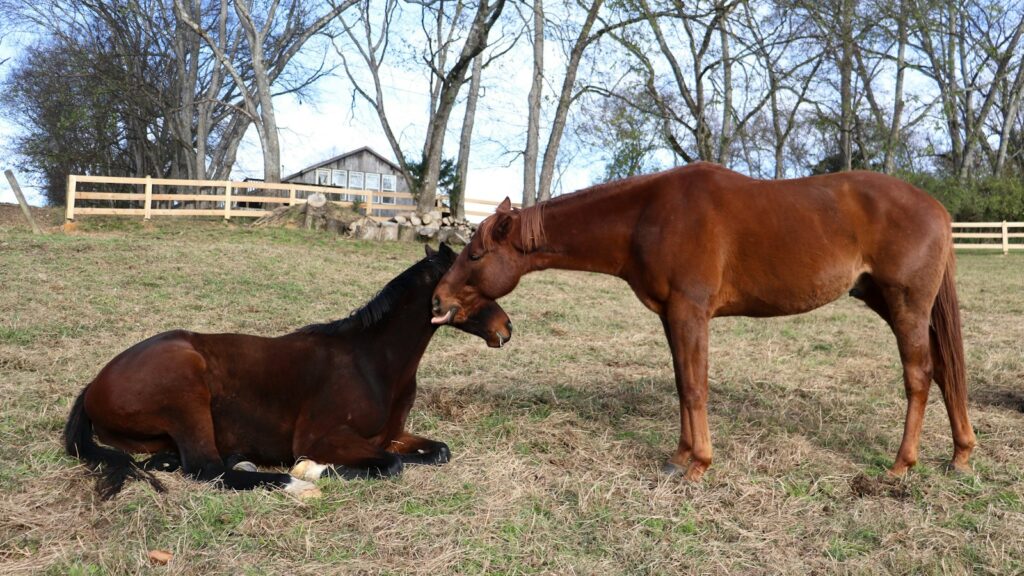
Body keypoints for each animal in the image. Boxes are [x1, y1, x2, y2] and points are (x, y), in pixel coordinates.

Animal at [64, 243, 513, 499]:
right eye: (471, 283)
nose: (506, 328)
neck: (372, 362)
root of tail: (94, 385)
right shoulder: (322, 438)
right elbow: (390, 465)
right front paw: (310, 470)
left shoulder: (390, 435)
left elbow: (436, 452)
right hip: (187, 392)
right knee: (207, 470)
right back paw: (294, 484)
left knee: (179, 462)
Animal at [431, 163, 976, 481]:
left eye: (475, 254)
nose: (437, 300)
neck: (647, 215)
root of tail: (937, 208)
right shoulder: (673, 317)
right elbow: (681, 384)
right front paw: (678, 458)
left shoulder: (690, 312)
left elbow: (695, 387)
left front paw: (699, 465)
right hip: (892, 304)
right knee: (948, 373)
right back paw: (960, 455)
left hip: (906, 308)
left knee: (920, 377)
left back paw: (901, 465)